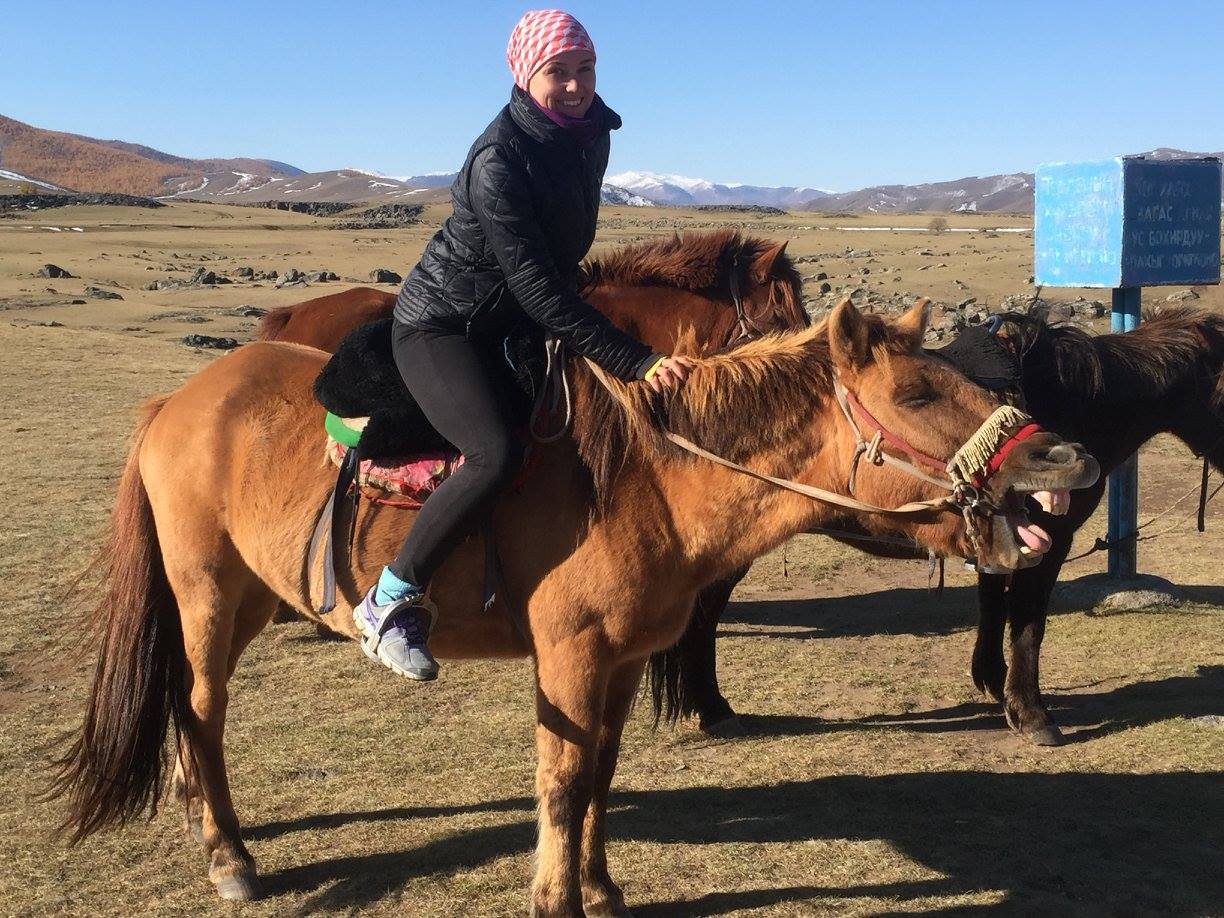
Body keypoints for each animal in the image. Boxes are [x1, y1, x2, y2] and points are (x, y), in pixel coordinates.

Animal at [52, 298, 1096, 915]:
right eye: (918, 390)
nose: (1067, 458)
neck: (648, 478)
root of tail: (176, 401)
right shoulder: (570, 658)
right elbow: (559, 781)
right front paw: (555, 899)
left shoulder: (625, 658)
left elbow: (600, 774)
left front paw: (600, 887)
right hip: (206, 596)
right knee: (199, 710)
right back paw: (228, 855)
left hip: (256, 600)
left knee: (195, 716)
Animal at [660, 307, 1224, 749]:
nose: (1072, 460)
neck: (1079, 398)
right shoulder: (1050, 544)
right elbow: (1028, 624)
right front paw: (1032, 714)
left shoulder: (1003, 533)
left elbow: (994, 604)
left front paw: (994, 683)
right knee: (703, 618)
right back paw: (714, 709)